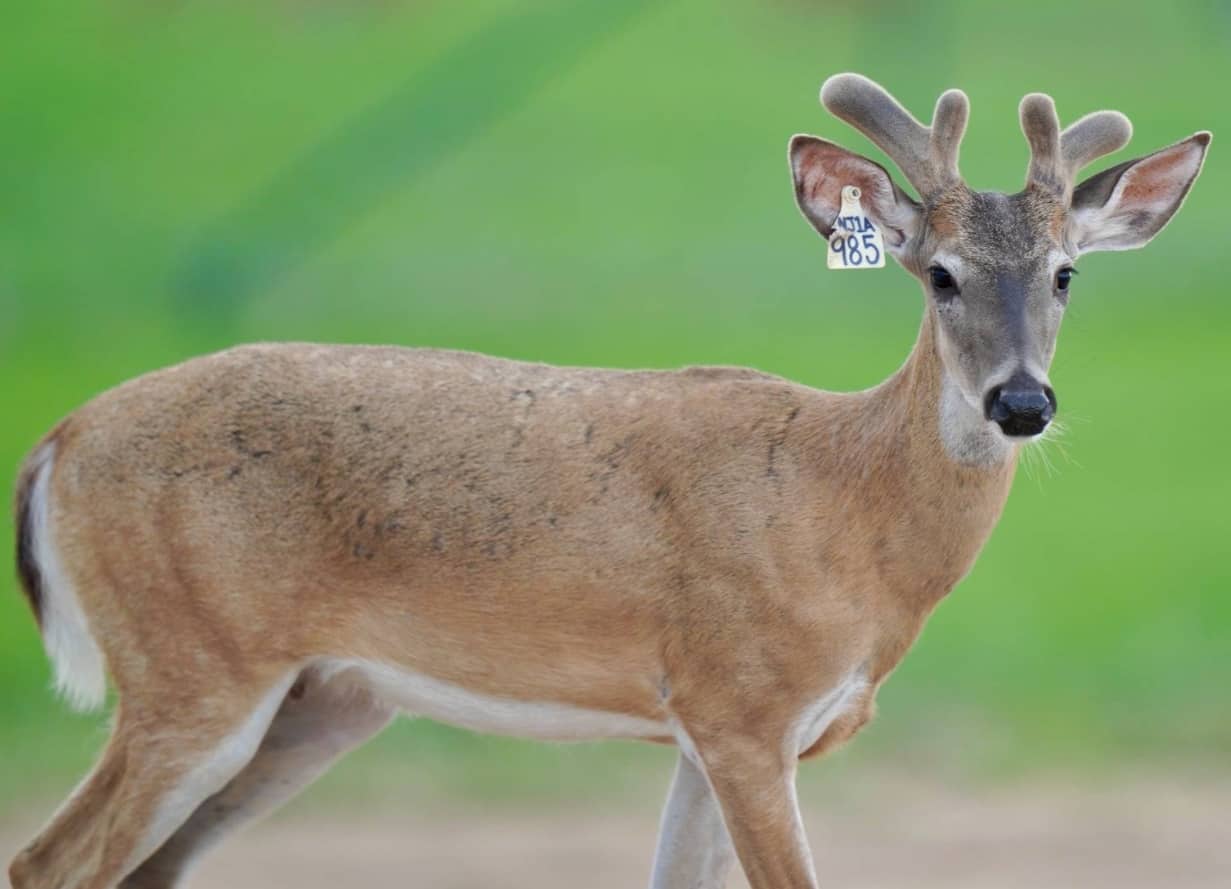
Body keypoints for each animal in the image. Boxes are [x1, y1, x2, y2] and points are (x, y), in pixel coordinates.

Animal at [9, 73, 1209, 889]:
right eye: (941, 275)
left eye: (1066, 273)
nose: (1021, 403)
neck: (844, 508)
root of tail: (59, 439)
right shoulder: (739, 702)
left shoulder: (712, 731)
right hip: (189, 667)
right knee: (51, 862)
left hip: (318, 702)